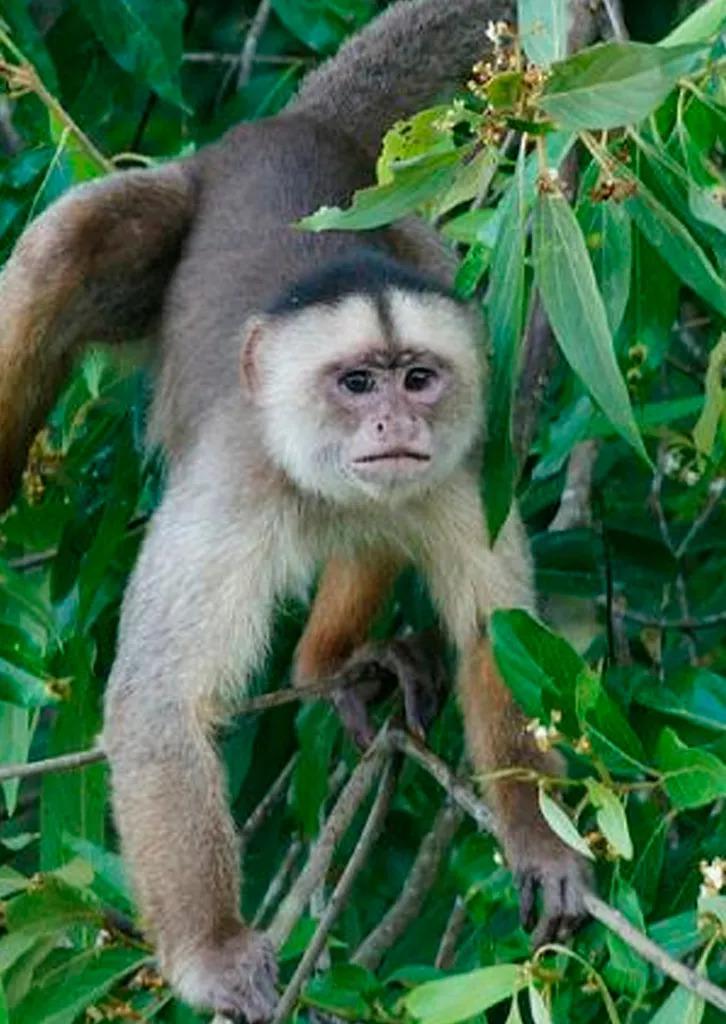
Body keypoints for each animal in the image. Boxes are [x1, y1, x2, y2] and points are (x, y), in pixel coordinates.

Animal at [0, 1, 589, 1018]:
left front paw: (538, 837)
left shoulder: (461, 468)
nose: (395, 421)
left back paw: (328, 664)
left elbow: (498, 636)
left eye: (418, 378)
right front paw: (209, 952)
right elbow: (158, 702)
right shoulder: (232, 485)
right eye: (356, 384)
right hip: (178, 195)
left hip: (408, 227)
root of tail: (288, 128)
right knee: (63, 253)